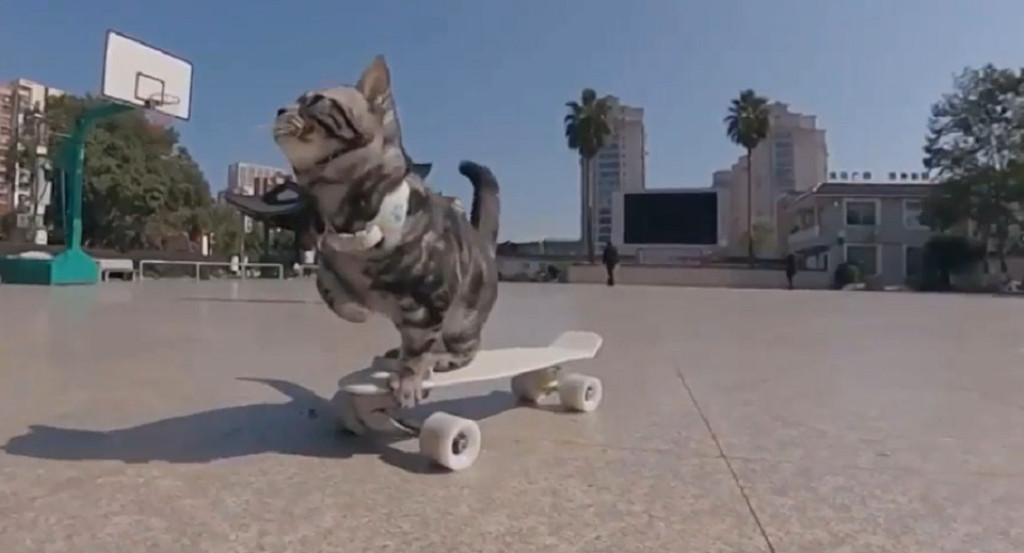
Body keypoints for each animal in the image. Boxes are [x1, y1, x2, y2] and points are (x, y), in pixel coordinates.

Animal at [270, 56, 497, 407]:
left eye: (316, 100)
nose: (280, 109)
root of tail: (482, 239)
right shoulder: (330, 257)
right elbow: (325, 284)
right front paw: (356, 309)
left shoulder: (432, 300)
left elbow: (418, 348)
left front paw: (409, 378)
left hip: (463, 320)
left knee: (464, 346)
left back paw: (440, 358)